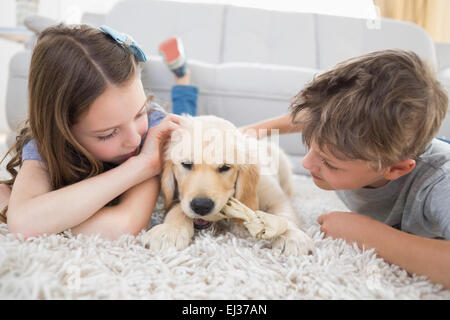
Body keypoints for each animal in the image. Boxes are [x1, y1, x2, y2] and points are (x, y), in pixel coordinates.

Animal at [143, 115, 312, 255]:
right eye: (186, 164)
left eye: (225, 167)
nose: (201, 206)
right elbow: (178, 209)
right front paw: (169, 230)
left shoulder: (275, 196)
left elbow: (285, 215)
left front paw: (291, 236)